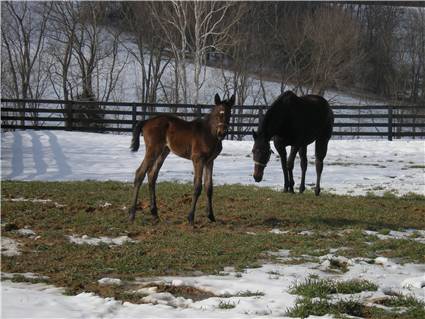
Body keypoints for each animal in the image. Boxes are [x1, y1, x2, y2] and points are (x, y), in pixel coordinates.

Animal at [129, 94, 235, 225]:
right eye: (218, 114)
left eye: (229, 114)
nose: (222, 133)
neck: (209, 133)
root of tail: (146, 121)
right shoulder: (198, 159)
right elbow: (197, 186)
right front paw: (191, 218)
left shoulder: (210, 161)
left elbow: (209, 187)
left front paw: (211, 216)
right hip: (153, 150)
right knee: (140, 173)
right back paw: (132, 214)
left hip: (163, 151)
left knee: (152, 175)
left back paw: (155, 214)